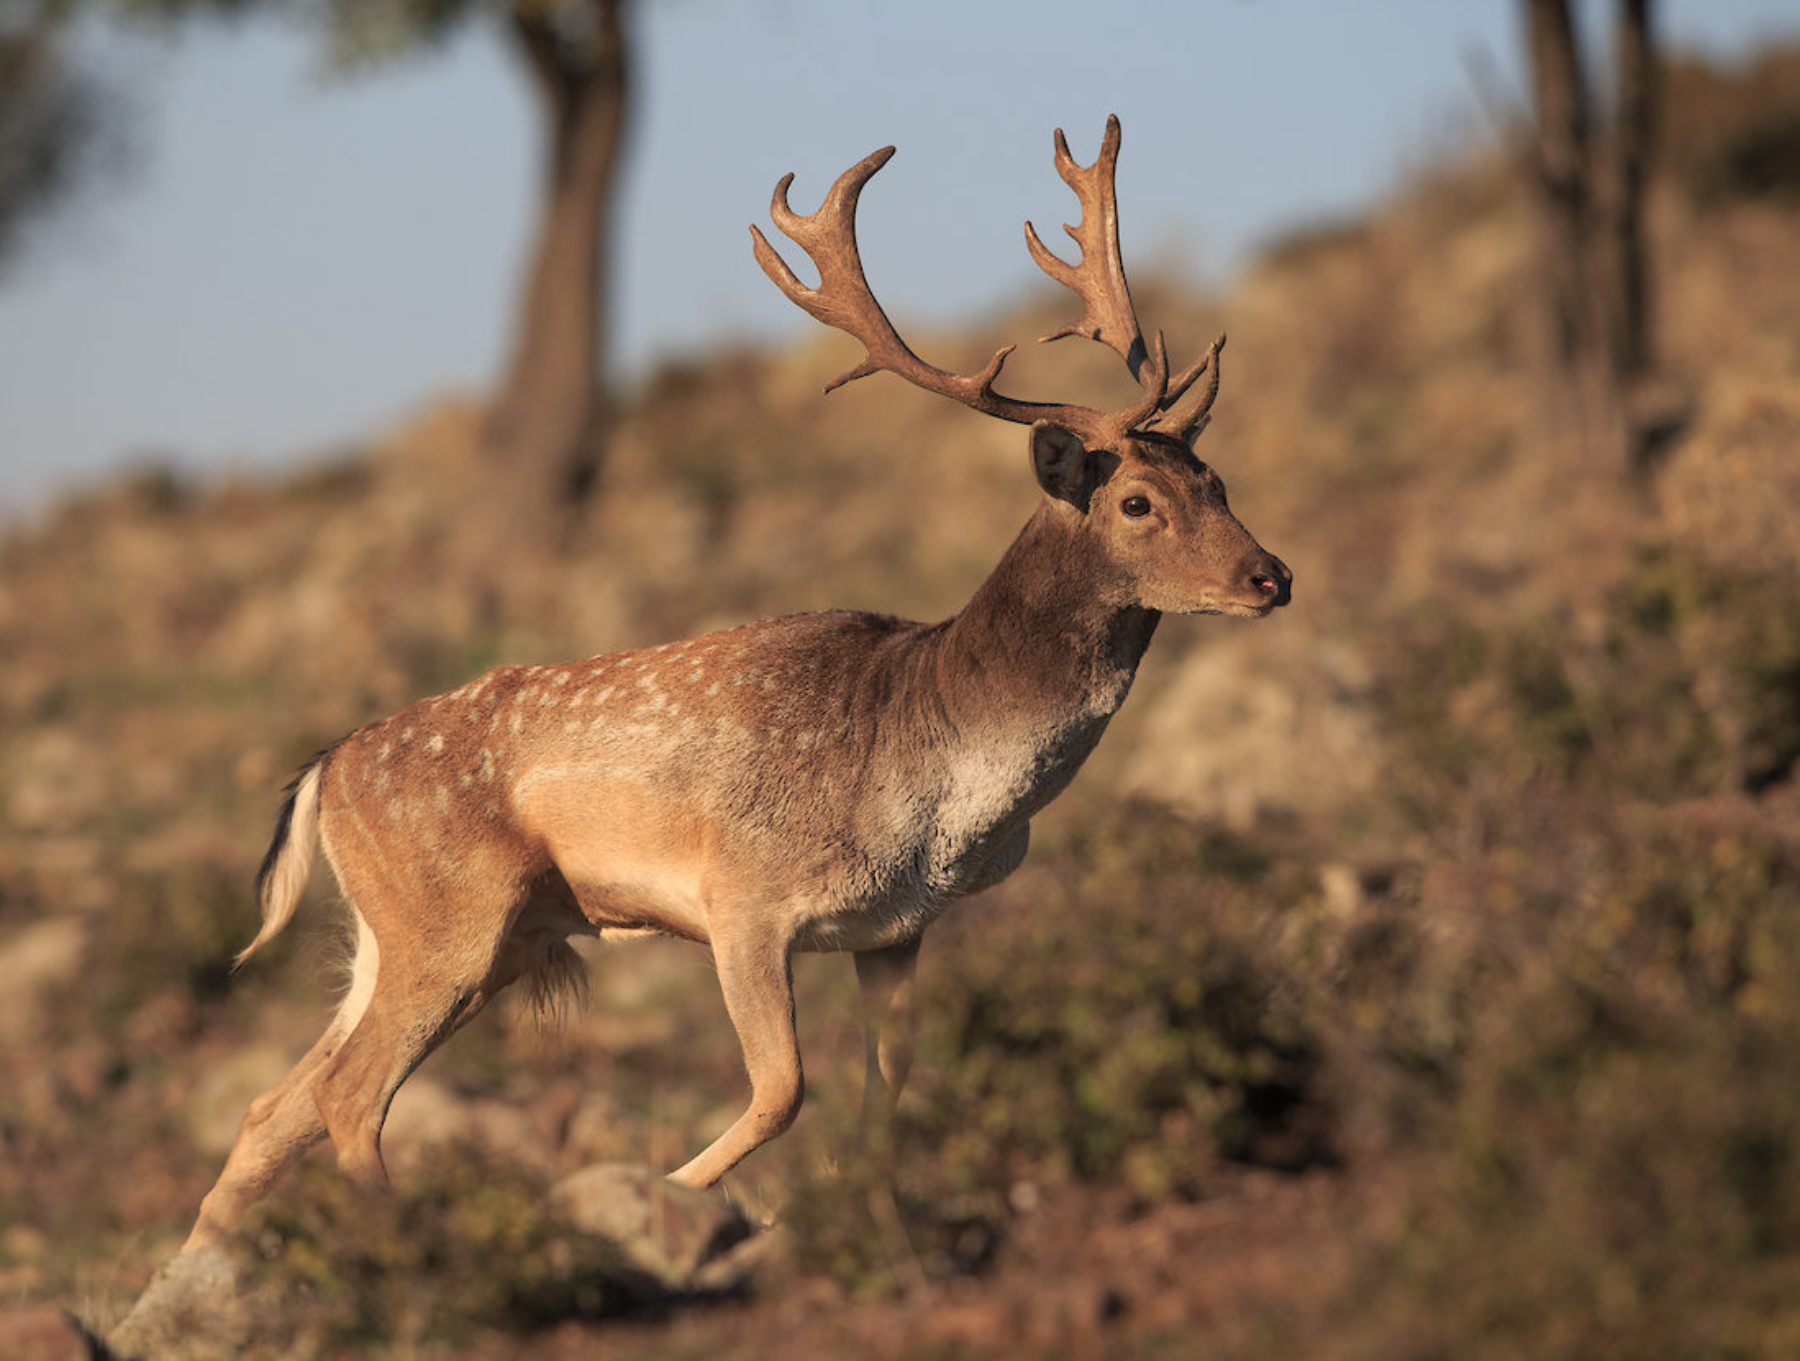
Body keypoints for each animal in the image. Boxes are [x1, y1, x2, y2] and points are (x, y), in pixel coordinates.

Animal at [175, 117, 1288, 1252]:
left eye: (1219, 481)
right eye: (1138, 501)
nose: (1271, 576)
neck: (940, 785)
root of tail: (323, 768)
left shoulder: (899, 926)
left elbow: (890, 1083)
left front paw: (870, 1205)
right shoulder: (744, 895)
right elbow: (782, 1088)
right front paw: (680, 1195)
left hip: (434, 940)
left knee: (271, 1108)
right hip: (450, 918)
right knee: (346, 1096)